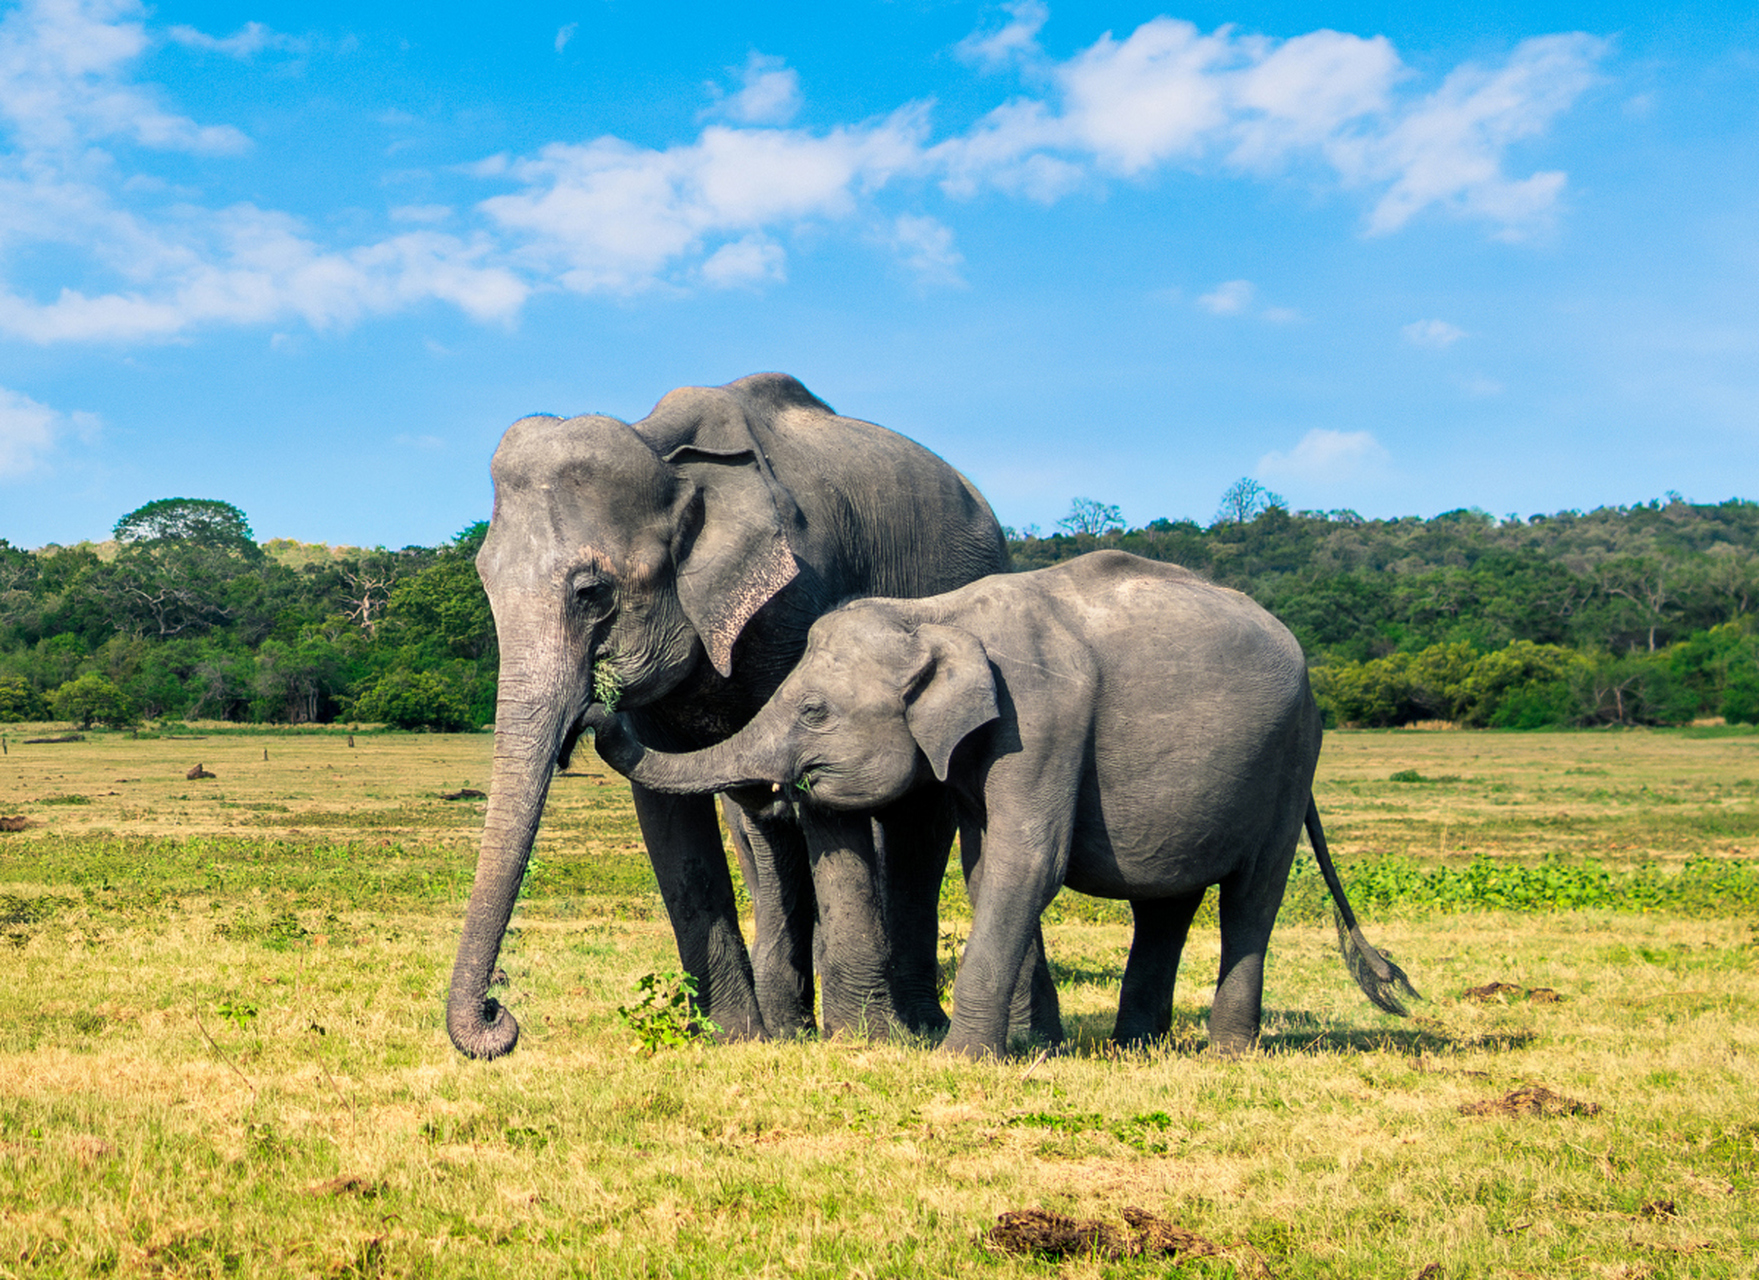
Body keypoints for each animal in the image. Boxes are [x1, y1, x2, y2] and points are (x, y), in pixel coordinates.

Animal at [446, 372, 1013, 1061]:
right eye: (484, 584)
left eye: (592, 593)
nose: (499, 1012)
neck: (662, 448)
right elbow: (672, 819)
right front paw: (736, 1039)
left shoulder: (800, 597)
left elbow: (822, 793)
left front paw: (862, 1040)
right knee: (764, 834)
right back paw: (789, 1025)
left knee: (916, 822)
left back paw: (917, 1027)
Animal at [594, 548, 1414, 1061]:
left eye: (814, 712)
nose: (601, 698)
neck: (938, 613)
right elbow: (988, 869)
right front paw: (1021, 1048)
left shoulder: (1041, 719)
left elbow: (1029, 864)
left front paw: (961, 1059)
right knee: (1166, 904)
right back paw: (1134, 1049)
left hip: (1289, 762)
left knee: (1251, 896)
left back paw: (1225, 1055)